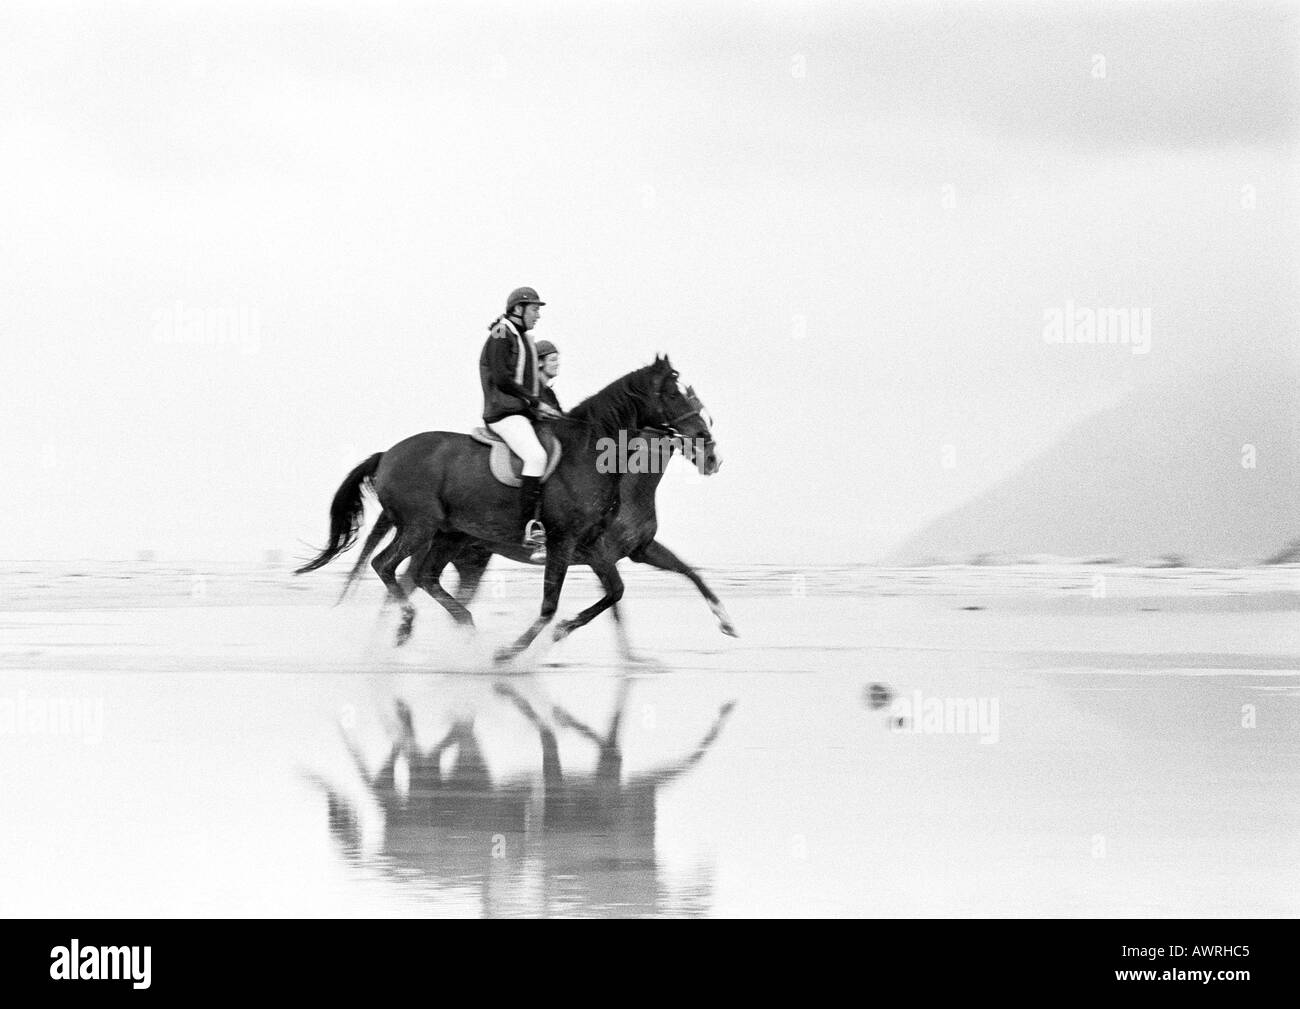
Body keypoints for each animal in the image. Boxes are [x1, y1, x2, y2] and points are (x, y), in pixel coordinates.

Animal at [295, 353, 733, 663]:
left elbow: (653, 582)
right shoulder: (569, 544)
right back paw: (410, 631)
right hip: (421, 527)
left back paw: (451, 631)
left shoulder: (610, 549)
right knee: (387, 568)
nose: (712, 455)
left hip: (450, 540)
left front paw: (725, 621)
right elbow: (556, 604)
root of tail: (388, 454)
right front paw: (514, 651)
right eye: (674, 395)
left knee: (422, 579)